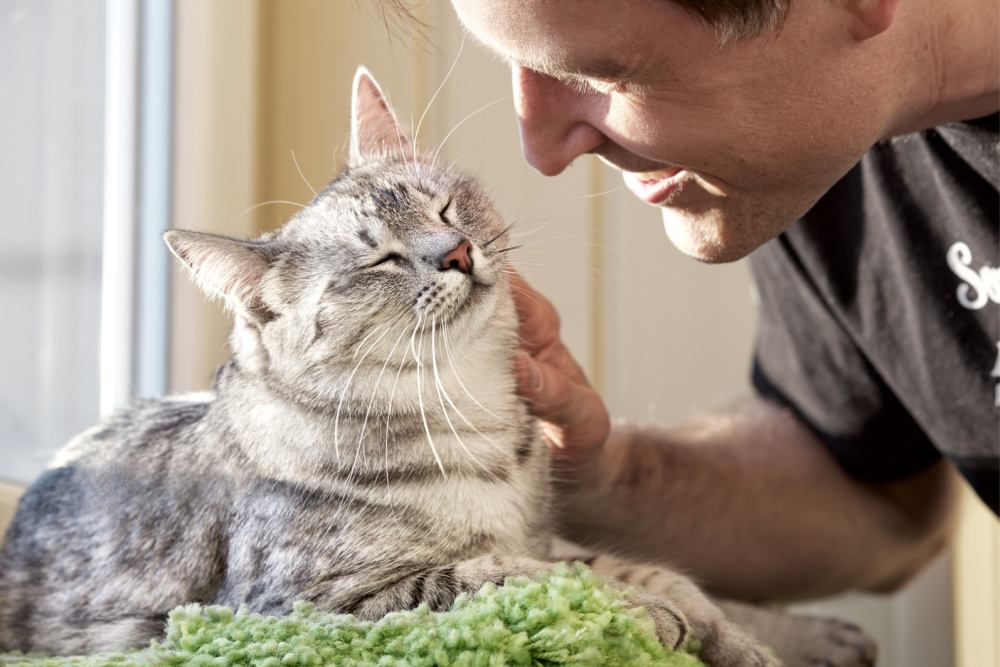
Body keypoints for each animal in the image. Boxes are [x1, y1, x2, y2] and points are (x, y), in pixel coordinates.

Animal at [0, 69, 876, 667]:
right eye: (379, 259)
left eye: (444, 206)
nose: (453, 252)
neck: (474, 415)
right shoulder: (316, 601)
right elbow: (508, 575)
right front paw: (639, 618)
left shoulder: (547, 530)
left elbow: (655, 574)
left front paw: (739, 636)